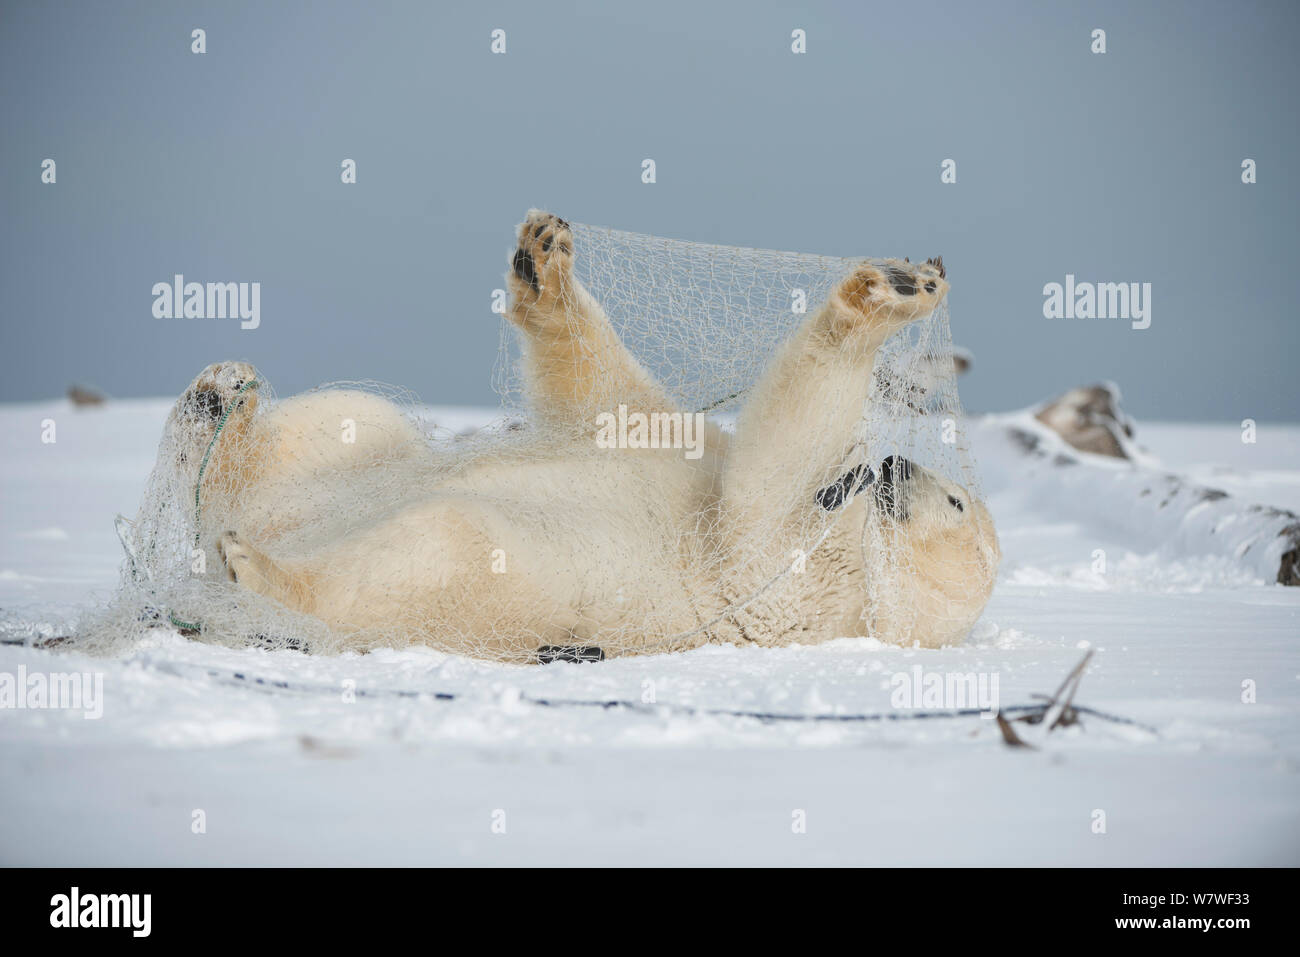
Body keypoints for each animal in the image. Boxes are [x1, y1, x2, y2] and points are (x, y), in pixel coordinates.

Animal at [167, 210, 998, 660]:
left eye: (956, 503)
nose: (892, 463)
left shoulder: (794, 592)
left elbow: (765, 493)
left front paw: (895, 290)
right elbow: (625, 410)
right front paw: (544, 258)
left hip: (496, 593)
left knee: (428, 549)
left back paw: (255, 564)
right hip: (343, 469)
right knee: (357, 424)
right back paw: (217, 403)